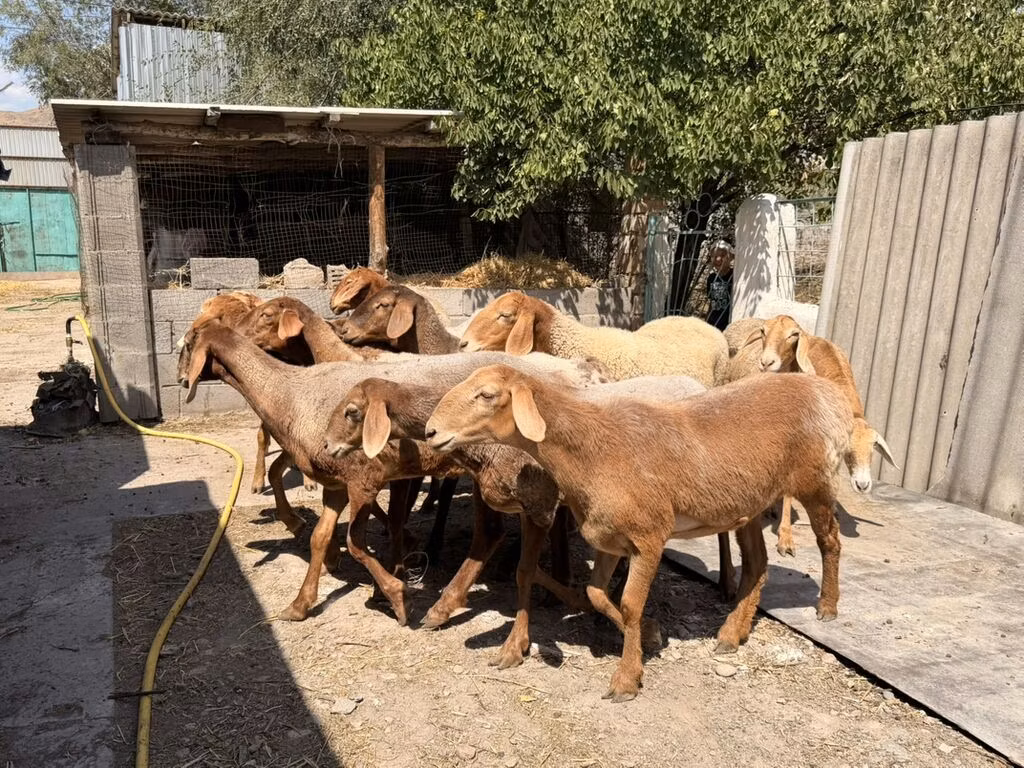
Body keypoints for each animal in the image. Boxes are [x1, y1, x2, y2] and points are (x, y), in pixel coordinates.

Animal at [424, 365, 853, 701]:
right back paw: (732, 633)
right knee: (758, 565)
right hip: (749, 504)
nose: (429, 431)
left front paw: (627, 678)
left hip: (815, 481)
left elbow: (629, 603)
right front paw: (649, 635)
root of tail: (827, 391)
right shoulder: (609, 538)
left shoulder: (650, 538)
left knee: (829, 540)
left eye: (487, 394)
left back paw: (827, 606)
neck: (593, 452)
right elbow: (597, 595)